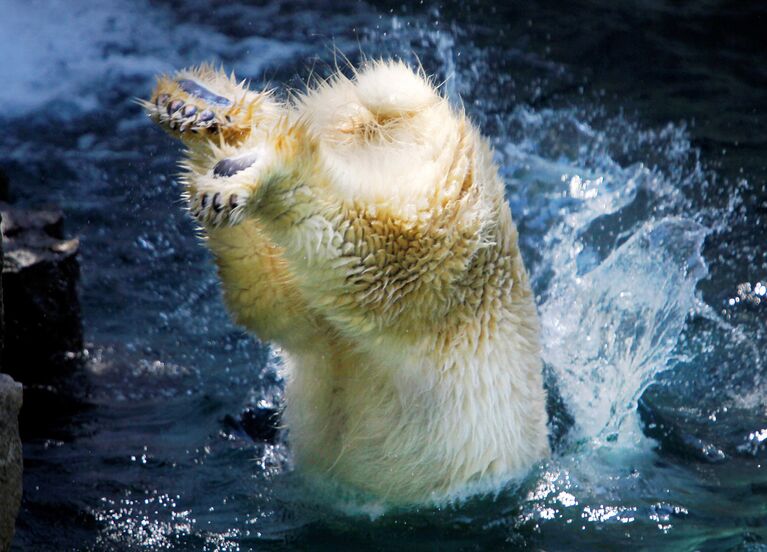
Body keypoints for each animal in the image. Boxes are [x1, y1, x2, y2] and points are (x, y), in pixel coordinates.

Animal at [142, 60, 552, 504]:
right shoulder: (330, 340)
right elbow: (279, 303)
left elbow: (282, 304)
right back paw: (201, 109)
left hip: (441, 272)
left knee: (366, 251)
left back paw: (235, 157)